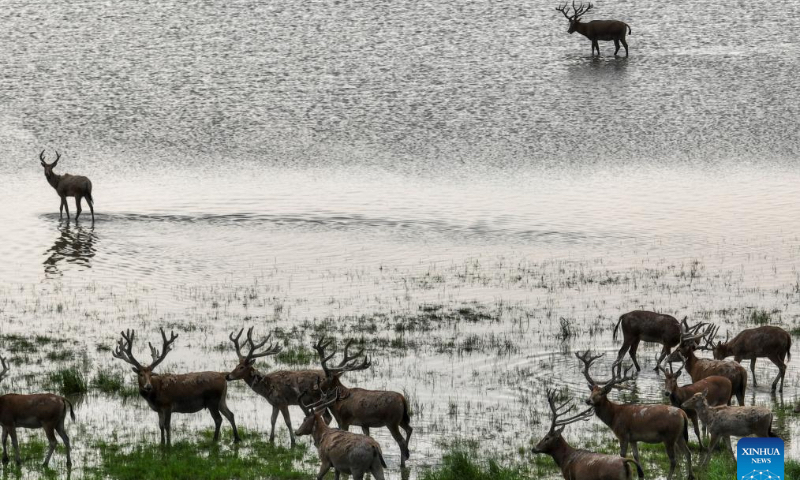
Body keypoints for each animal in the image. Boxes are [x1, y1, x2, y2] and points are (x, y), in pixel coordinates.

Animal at [112, 328, 240, 445]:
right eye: (141, 374)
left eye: (151, 374)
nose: (148, 386)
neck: (154, 396)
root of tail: (223, 376)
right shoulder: (159, 409)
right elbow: (160, 425)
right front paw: (162, 443)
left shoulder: (168, 405)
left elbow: (167, 425)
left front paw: (169, 444)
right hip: (221, 399)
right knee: (230, 414)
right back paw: (236, 438)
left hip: (212, 400)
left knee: (218, 419)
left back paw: (214, 440)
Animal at [313, 337, 413, 467]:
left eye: (323, 378)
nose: (315, 386)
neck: (337, 403)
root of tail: (402, 399)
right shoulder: (364, 424)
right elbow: (368, 437)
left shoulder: (344, 420)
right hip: (401, 419)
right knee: (409, 429)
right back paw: (407, 455)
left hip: (392, 421)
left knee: (401, 440)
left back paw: (402, 463)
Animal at [576, 350, 694, 480]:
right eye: (592, 391)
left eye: (601, 393)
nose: (588, 400)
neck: (613, 417)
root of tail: (683, 414)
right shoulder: (633, 438)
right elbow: (636, 456)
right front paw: (640, 474)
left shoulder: (623, 434)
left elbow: (622, 454)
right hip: (680, 435)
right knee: (688, 452)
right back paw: (690, 475)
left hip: (669, 436)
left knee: (673, 460)